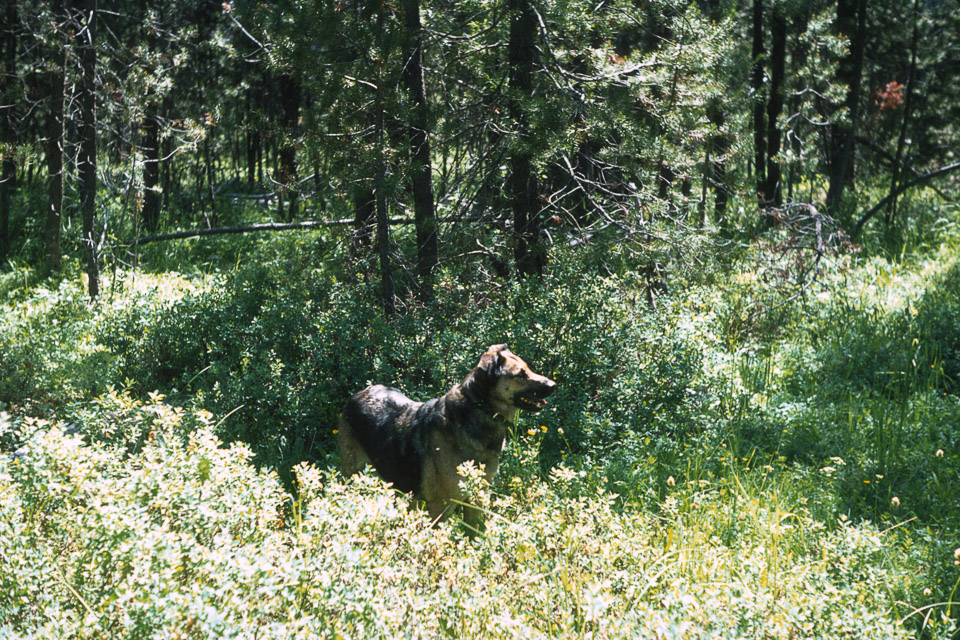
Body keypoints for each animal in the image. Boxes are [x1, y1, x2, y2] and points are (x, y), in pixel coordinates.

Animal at [342, 342, 560, 524]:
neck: (480, 408)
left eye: (528, 368)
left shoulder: (476, 499)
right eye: (520, 375)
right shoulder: (440, 507)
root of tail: (359, 394)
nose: (553, 385)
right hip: (352, 475)